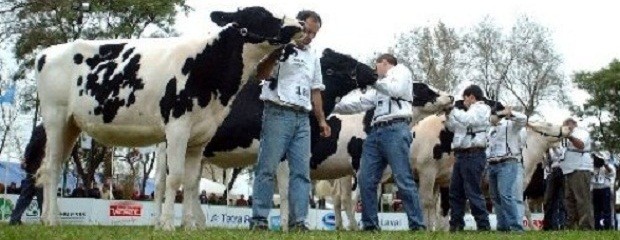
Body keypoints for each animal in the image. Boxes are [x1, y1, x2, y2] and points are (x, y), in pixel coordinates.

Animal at [35, 6, 304, 230]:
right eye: (260, 14)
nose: (299, 24)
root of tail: (47, 52)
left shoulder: (201, 136)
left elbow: (191, 182)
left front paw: (189, 226)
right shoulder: (177, 127)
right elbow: (175, 178)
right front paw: (167, 225)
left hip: (71, 125)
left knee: (51, 167)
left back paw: (47, 218)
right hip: (55, 116)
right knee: (51, 167)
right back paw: (53, 220)